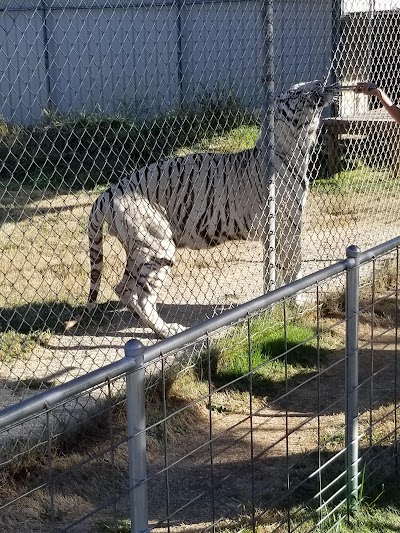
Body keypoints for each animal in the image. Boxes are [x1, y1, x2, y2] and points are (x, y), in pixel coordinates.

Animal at [75, 80, 334, 336]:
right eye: (295, 92)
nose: (319, 82)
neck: (296, 147)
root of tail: (109, 191)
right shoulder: (288, 225)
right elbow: (293, 265)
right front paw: (295, 301)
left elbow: (273, 269)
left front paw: (276, 300)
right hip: (157, 244)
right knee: (139, 296)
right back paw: (169, 331)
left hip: (137, 250)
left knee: (122, 288)